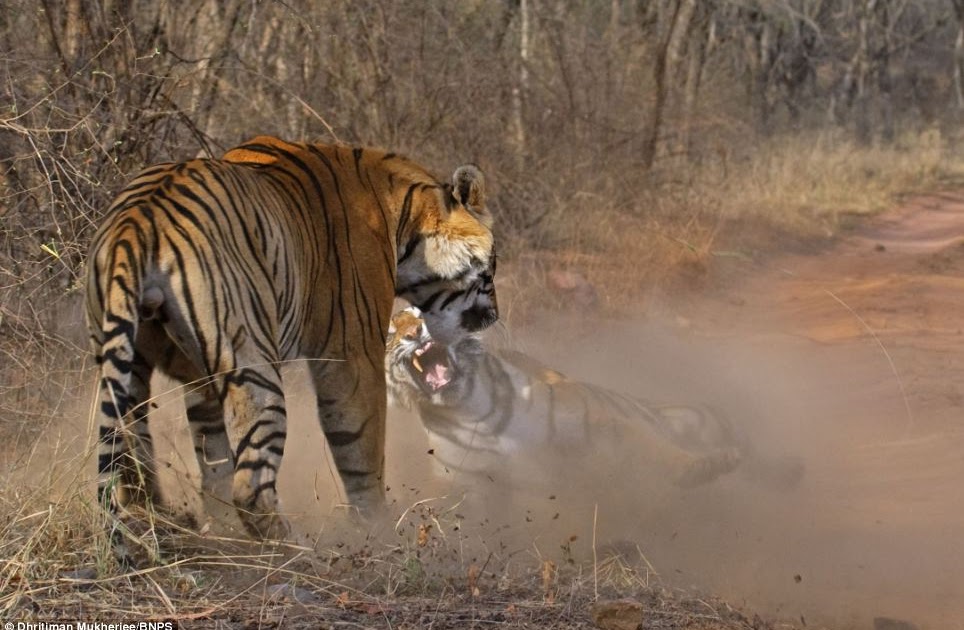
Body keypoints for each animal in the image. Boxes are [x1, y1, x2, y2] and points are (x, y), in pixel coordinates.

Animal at [86, 138, 500, 544]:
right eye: (491, 268)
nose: (493, 316)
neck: (405, 214)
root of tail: (138, 219)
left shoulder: (198, 379)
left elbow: (213, 458)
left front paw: (219, 528)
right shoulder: (352, 352)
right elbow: (360, 447)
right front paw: (376, 530)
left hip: (126, 368)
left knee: (133, 469)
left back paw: (169, 525)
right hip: (252, 366)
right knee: (251, 486)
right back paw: (295, 548)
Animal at [388, 308, 804, 496]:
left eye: (424, 313)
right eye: (392, 330)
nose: (417, 331)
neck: (472, 409)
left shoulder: (602, 425)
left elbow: (657, 450)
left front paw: (699, 468)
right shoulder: (471, 482)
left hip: (704, 420)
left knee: (751, 455)